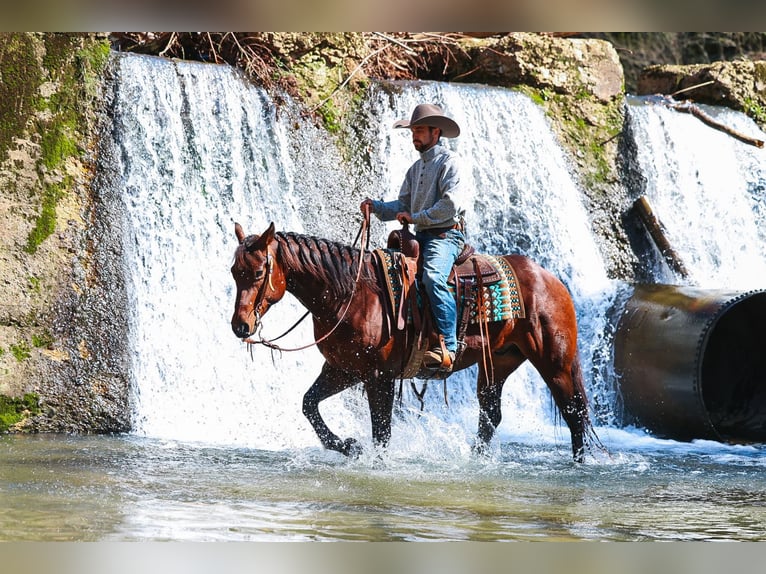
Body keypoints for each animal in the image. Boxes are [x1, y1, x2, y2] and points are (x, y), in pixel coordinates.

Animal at [230, 221, 600, 462]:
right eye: (234, 271)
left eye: (260, 272)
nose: (240, 326)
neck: (352, 293)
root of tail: (551, 278)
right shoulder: (343, 369)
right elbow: (309, 405)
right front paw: (349, 447)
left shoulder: (377, 377)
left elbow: (381, 431)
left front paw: (375, 463)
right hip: (498, 363)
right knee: (490, 416)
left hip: (555, 362)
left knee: (574, 413)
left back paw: (577, 465)